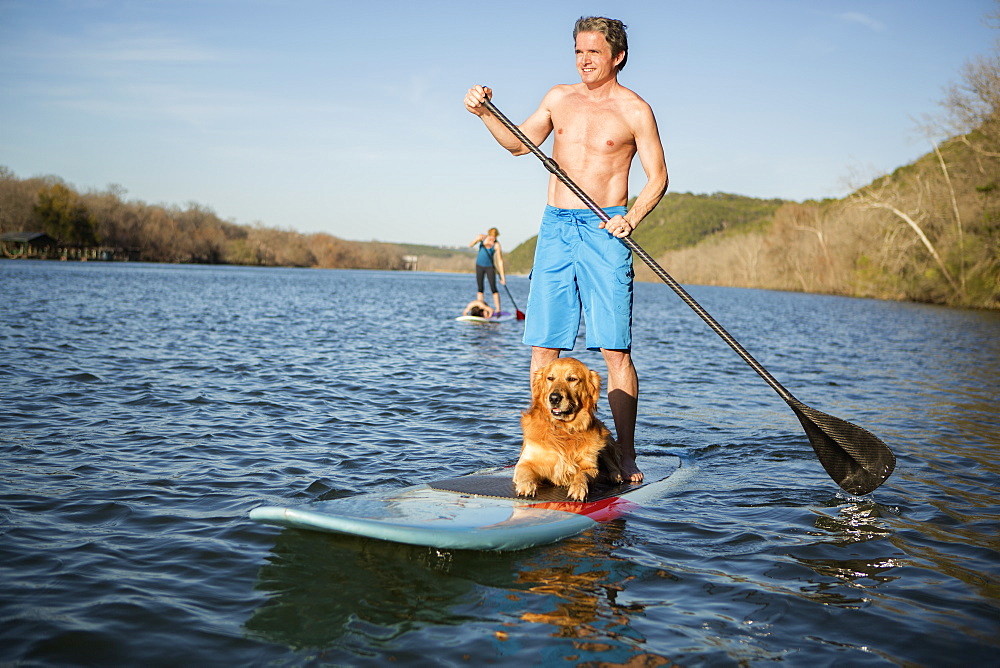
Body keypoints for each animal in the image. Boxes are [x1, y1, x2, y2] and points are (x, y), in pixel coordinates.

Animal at [516, 358, 624, 498]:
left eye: (572, 379)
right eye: (550, 378)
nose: (554, 398)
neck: (563, 429)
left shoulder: (590, 466)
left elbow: (582, 474)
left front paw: (578, 488)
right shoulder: (527, 461)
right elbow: (525, 472)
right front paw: (526, 487)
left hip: (603, 438)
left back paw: (616, 475)